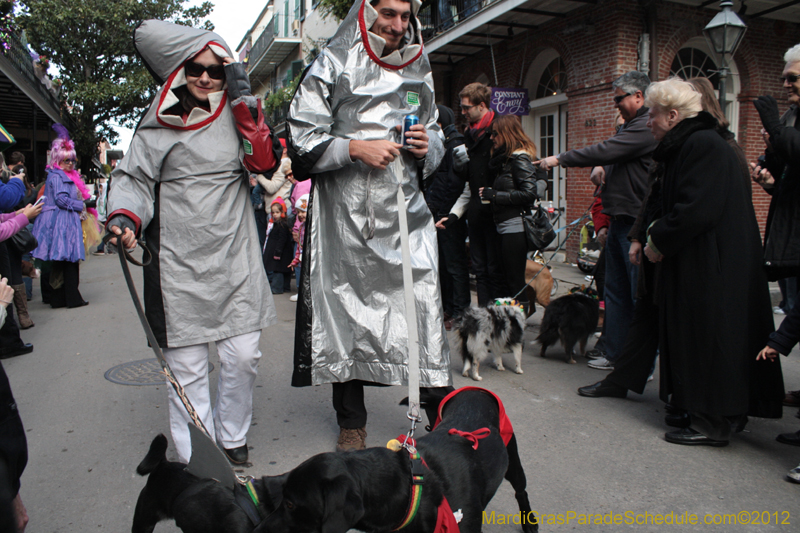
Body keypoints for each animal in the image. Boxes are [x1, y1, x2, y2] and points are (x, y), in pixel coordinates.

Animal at [258, 386, 536, 532]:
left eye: (291, 504)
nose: (258, 529)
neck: (413, 489)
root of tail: (468, 389)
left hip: (513, 462)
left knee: (521, 490)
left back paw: (530, 522)